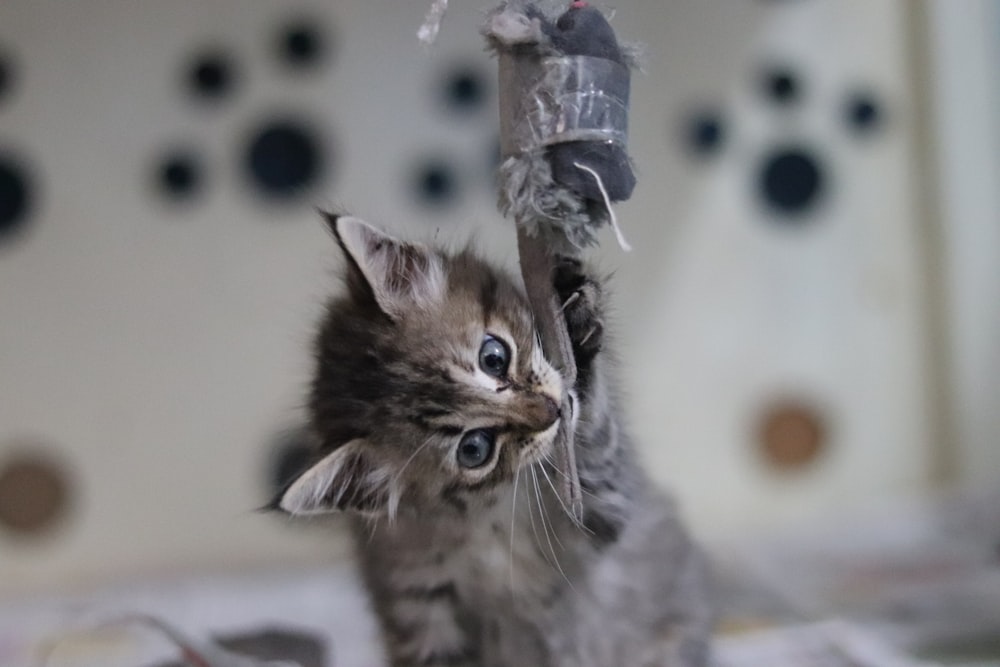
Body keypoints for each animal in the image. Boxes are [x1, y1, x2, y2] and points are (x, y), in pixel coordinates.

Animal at [274, 215, 712, 667]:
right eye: (474, 449)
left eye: (493, 357)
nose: (550, 412)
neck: (487, 516)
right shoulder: (414, 602)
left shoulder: (608, 509)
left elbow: (593, 435)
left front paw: (577, 320)